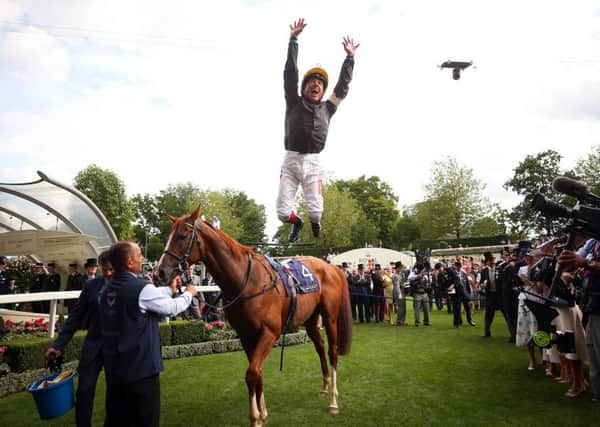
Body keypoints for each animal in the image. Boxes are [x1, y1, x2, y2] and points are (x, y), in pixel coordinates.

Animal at [155, 208, 352, 427]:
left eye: (182, 236)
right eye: (169, 236)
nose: (159, 272)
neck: (246, 281)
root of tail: (331, 267)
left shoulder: (269, 333)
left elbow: (251, 374)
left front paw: (255, 417)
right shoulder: (246, 335)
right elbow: (258, 373)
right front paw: (263, 412)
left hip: (330, 317)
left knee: (332, 351)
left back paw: (333, 401)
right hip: (310, 319)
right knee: (319, 346)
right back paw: (325, 386)